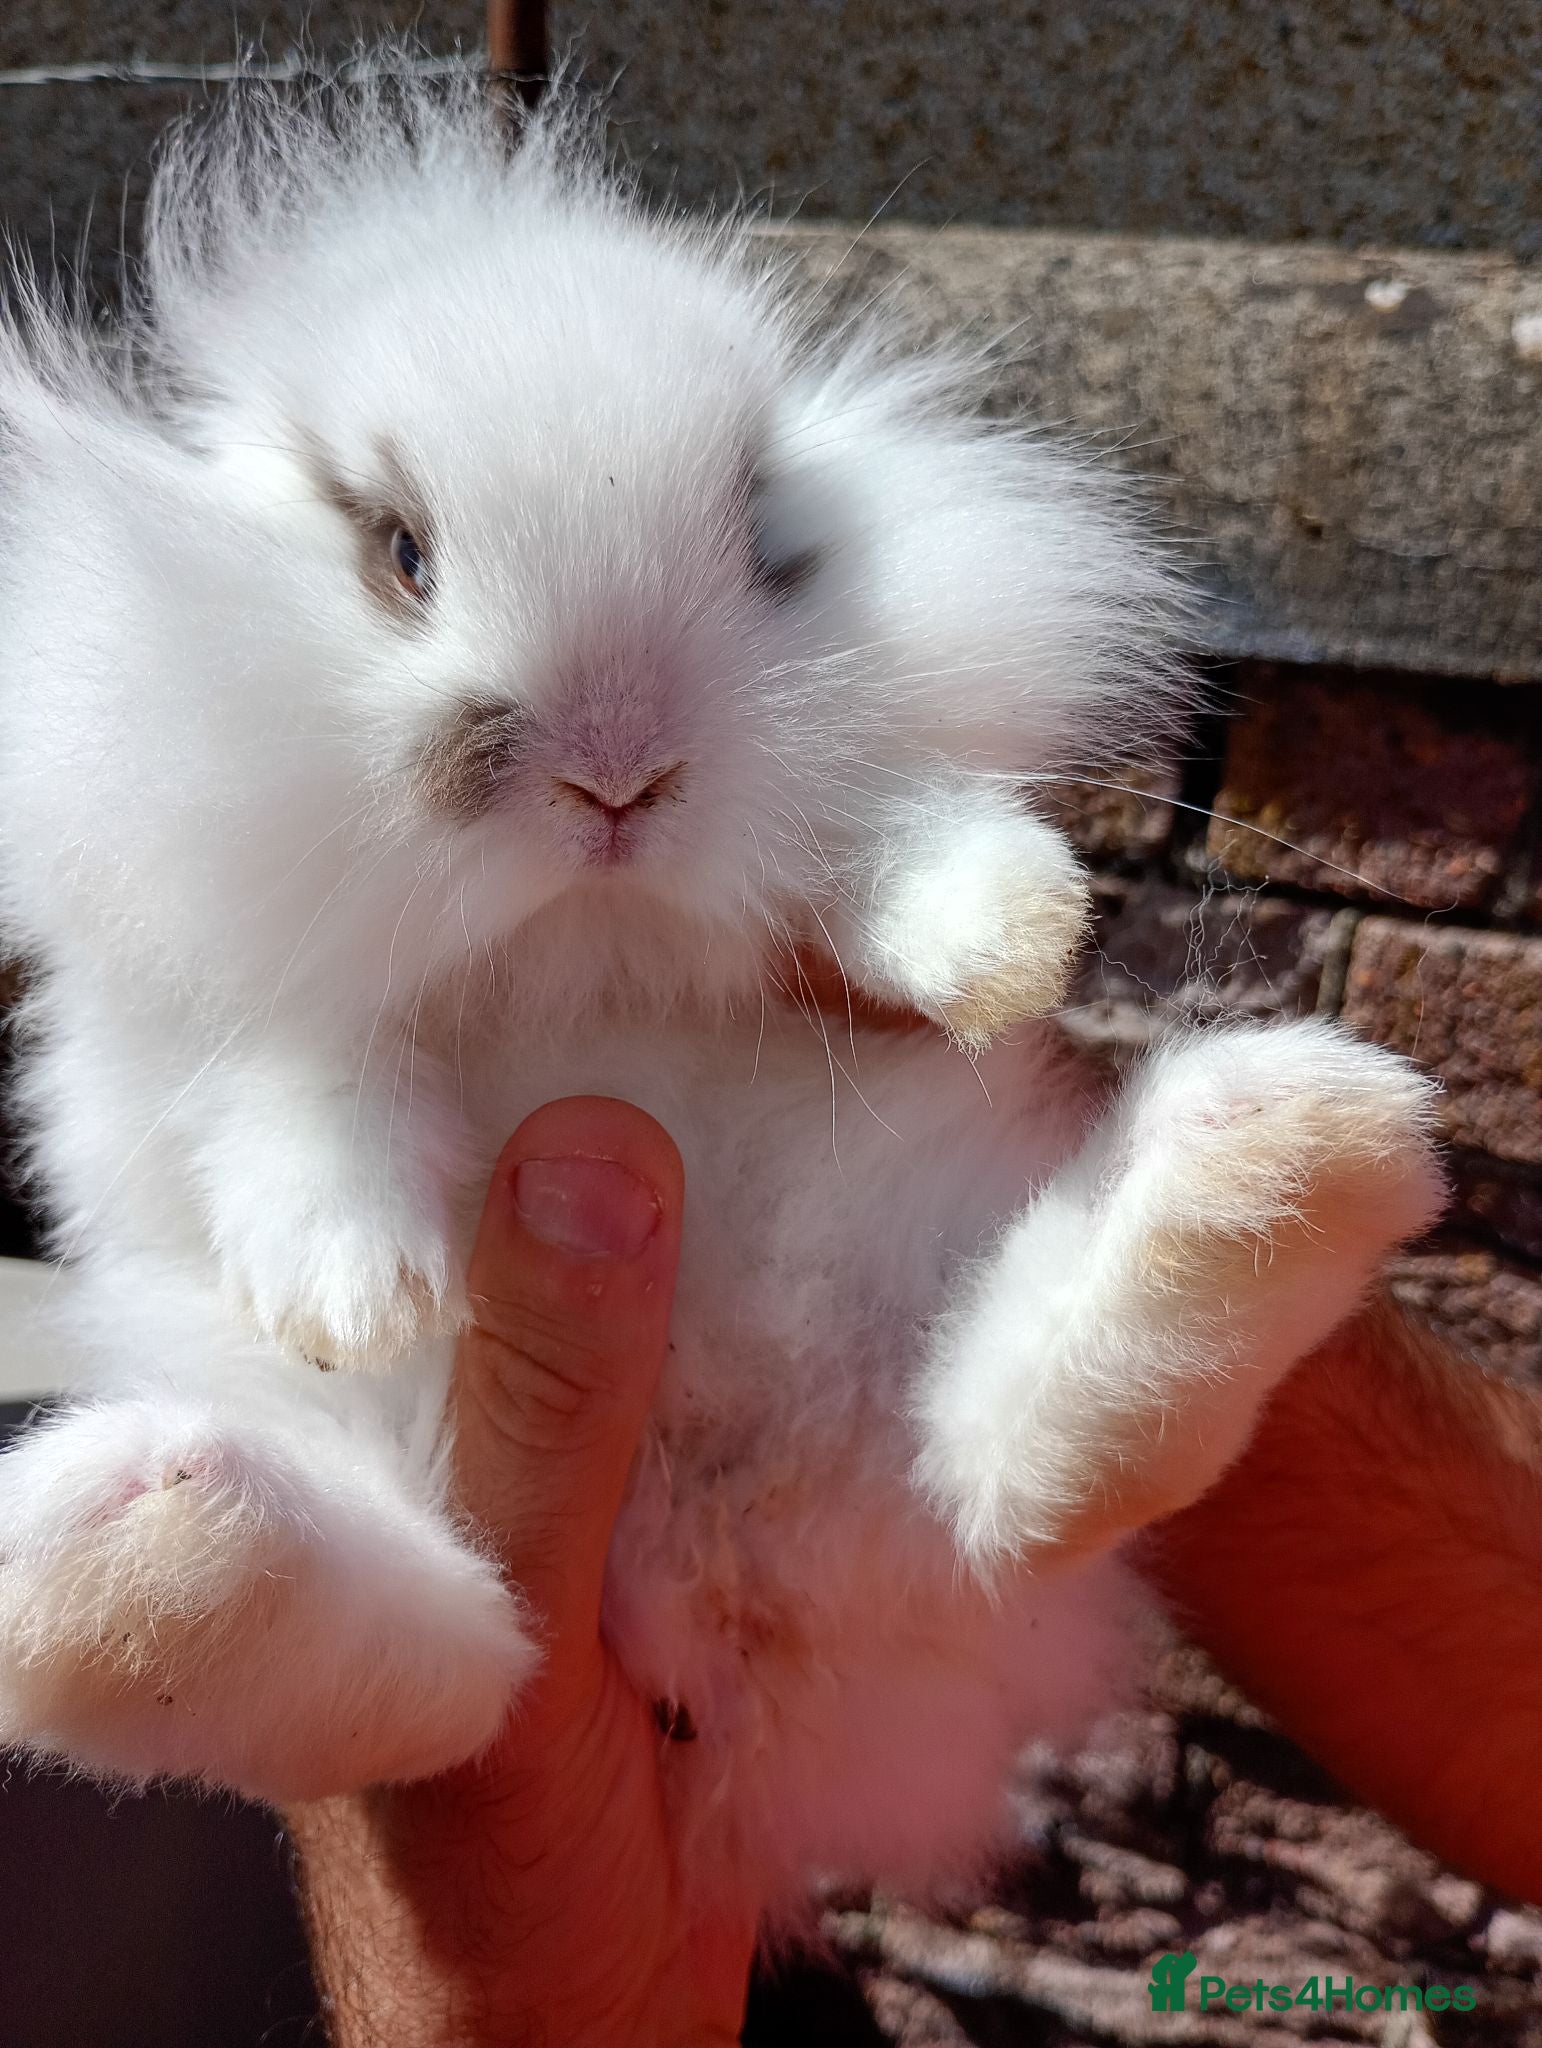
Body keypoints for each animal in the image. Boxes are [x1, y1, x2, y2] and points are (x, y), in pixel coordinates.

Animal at [0, 61, 1442, 1926]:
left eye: (769, 542)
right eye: (399, 551)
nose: (617, 774)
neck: (580, 936)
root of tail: (736, 1651)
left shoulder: (852, 828)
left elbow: (892, 843)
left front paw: (1011, 934)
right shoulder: (237, 983)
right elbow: (307, 1080)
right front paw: (362, 1280)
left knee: (1016, 1485)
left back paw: (1269, 1159)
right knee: (452, 1668)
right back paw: (124, 1554)